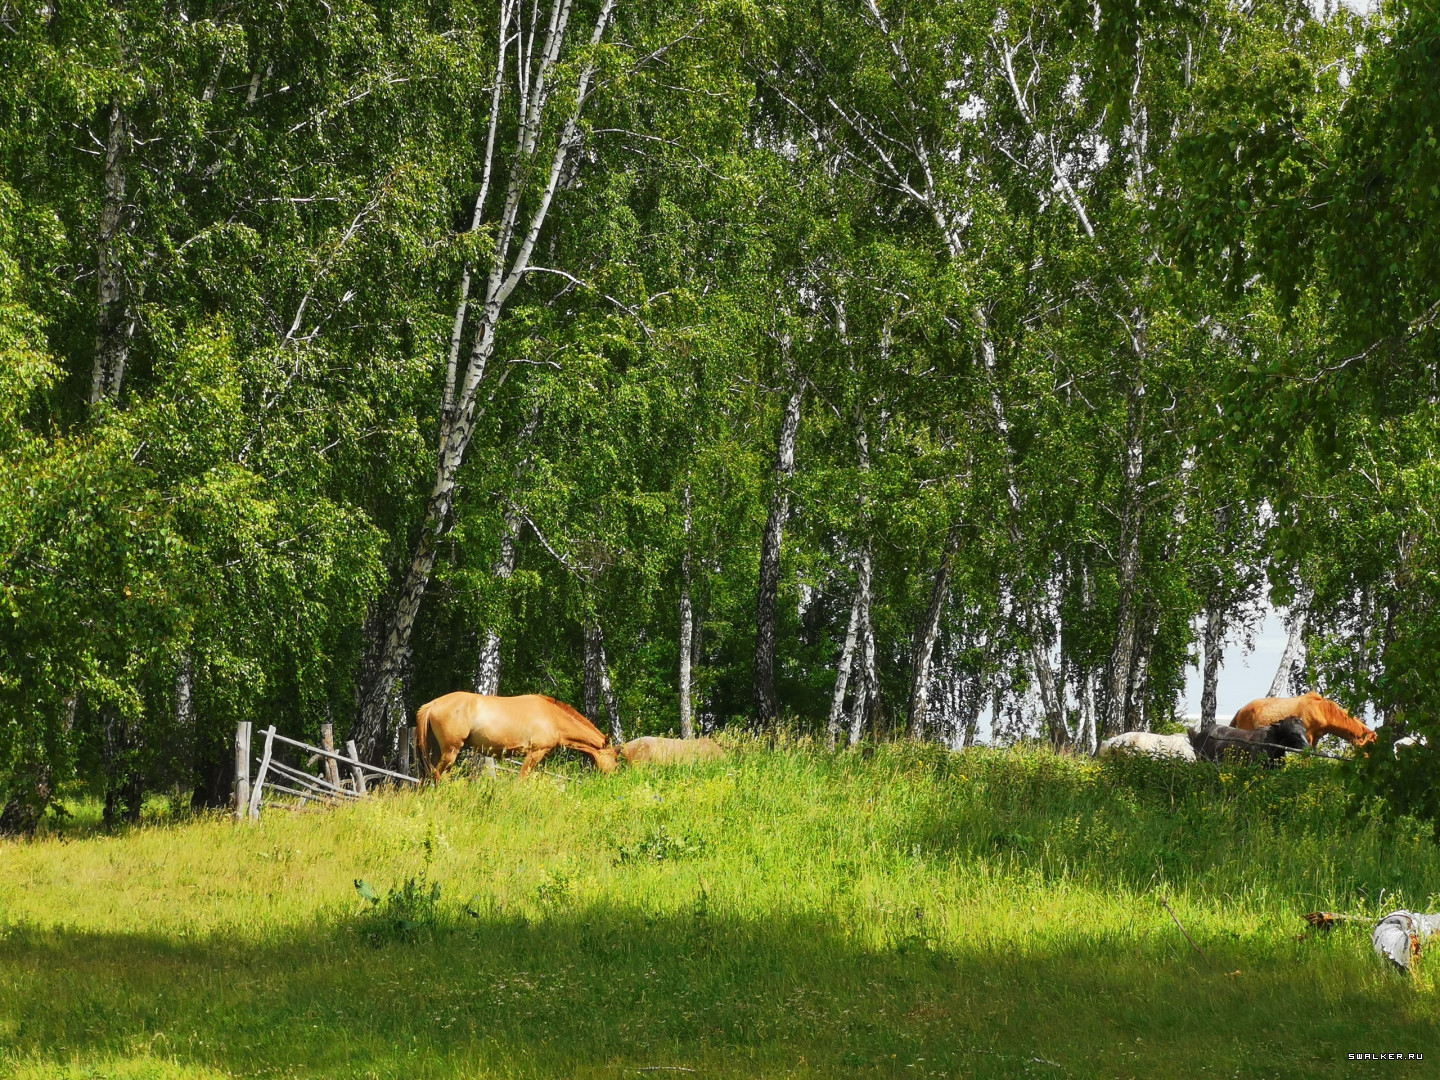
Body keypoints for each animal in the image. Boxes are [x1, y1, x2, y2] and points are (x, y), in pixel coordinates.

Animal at [416, 692, 619, 780]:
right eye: (616, 759)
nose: (615, 777)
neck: (552, 718)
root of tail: (433, 703)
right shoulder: (534, 754)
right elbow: (521, 780)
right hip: (451, 751)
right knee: (438, 774)